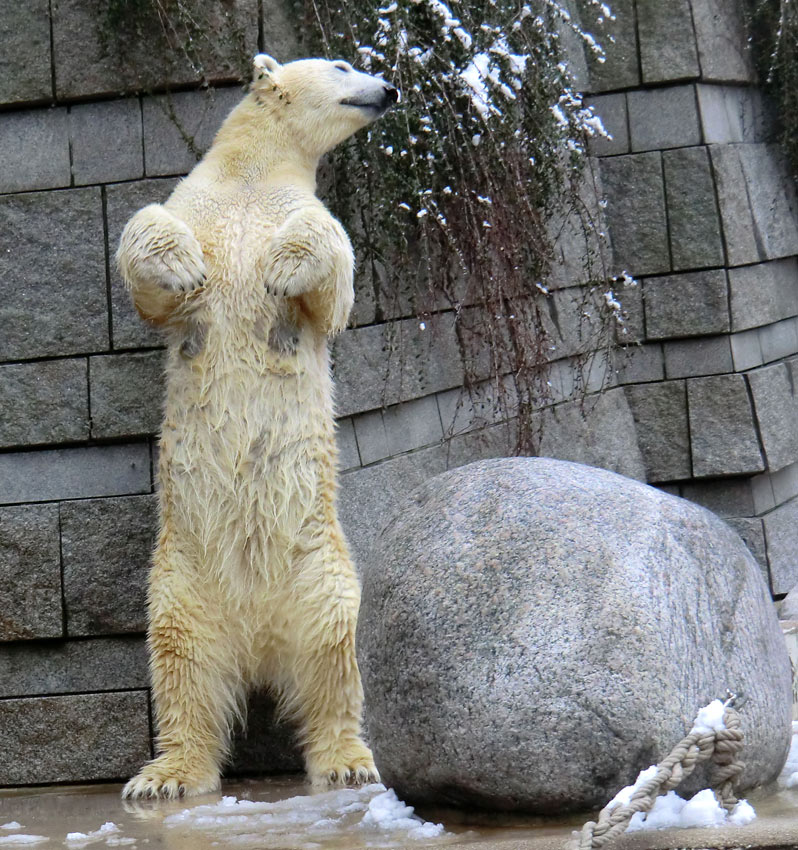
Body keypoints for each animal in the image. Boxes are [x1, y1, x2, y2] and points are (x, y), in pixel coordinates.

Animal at [114, 53, 400, 796]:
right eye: (342, 65)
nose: (389, 88)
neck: (250, 176)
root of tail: (259, 643)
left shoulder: (304, 213)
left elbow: (332, 281)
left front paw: (281, 267)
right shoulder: (196, 204)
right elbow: (149, 257)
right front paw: (181, 263)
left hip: (321, 567)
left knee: (336, 657)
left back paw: (347, 759)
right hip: (180, 582)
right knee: (182, 671)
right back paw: (168, 772)